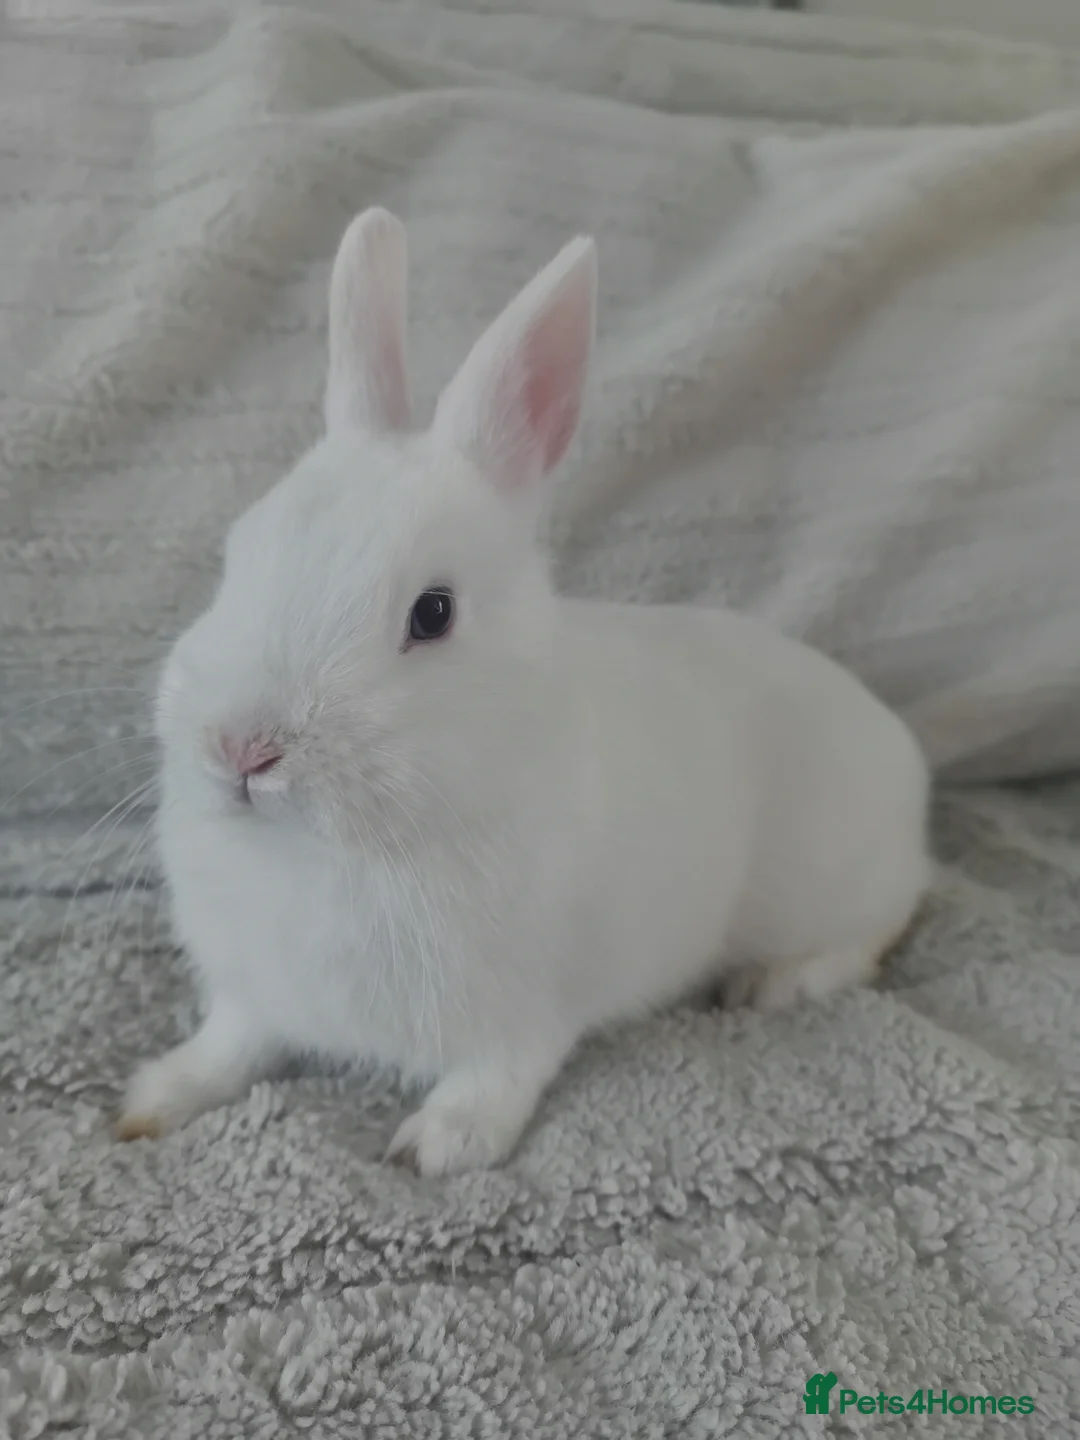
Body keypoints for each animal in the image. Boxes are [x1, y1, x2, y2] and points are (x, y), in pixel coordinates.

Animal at [117, 208, 932, 1176]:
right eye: (237, 554)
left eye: (432, 613)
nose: (242, 748)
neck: (339, 846)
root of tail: (905, 759)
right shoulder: (255, 995)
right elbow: (231, 1044)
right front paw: (152, 1099)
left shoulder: (523, 1010)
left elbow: (498, 1075)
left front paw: (437, 1146)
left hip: (830, 885)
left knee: (882, 929)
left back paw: (773, 984)